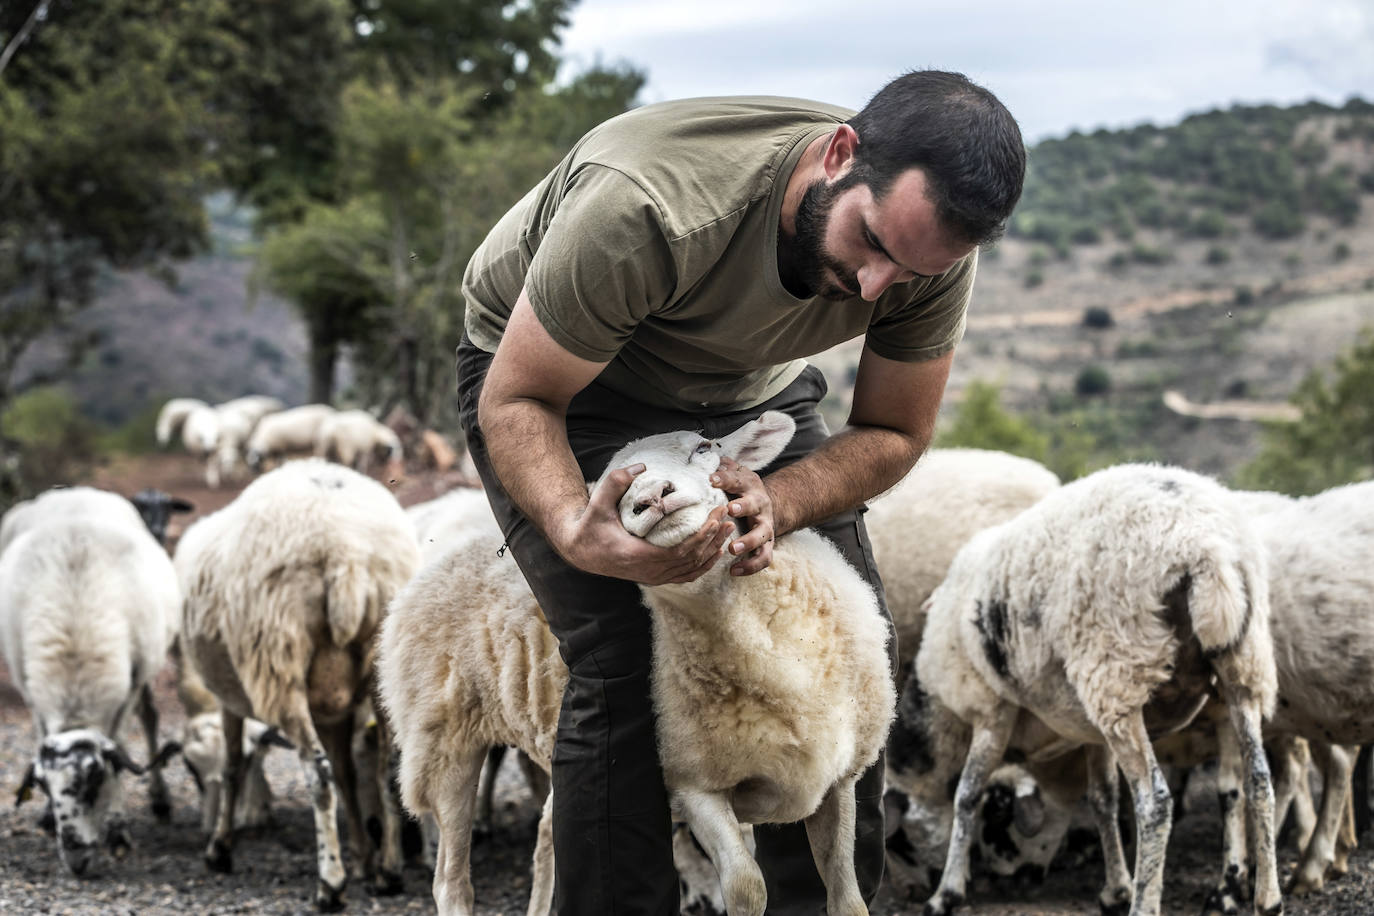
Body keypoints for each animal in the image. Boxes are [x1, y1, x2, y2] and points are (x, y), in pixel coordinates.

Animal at [179, 458, 420, 911]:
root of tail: (347, 554)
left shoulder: (230, 700)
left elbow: (233, 765)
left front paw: (219, 849)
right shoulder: (334, 710)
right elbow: (347, 774)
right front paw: (363, 856)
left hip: (278, 661)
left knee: (317, 774)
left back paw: (330, 884)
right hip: (385, 667)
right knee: (385, 769)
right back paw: (389, 872)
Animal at [376, 409, 890, 916]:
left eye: (704, 447)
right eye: (608, 490)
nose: (651, 497)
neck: (773, 659)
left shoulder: (842, 778)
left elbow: (847, 898)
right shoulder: (693, 786)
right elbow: (747, 888)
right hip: (444, 741)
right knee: (452, 882)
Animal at [890, 466, 1286, 916]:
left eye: (898, 843)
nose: (909, 890)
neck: (939, 717)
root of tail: (1206, 546)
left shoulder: (991, 711)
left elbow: (966, 796)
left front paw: (946, 893)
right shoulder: (1091, 732)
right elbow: (1103, 798)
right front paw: (1116, 890)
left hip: (1119, 672)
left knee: (1155, 803)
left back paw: (1147, 905)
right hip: (1242, 667)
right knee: (1259, 779)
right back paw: (1268, 898)